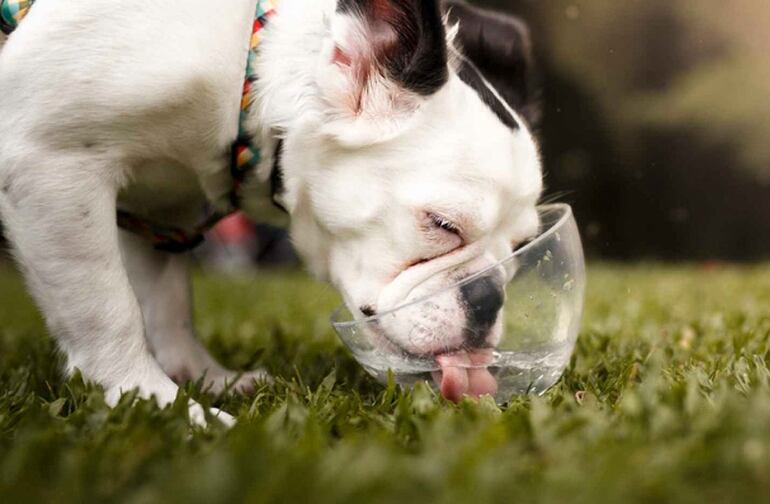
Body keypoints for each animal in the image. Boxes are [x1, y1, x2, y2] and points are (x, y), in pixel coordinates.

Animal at [0, 0, 540, 422]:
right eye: (442, 225)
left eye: (519, 248)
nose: (489, 297)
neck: (250, 77)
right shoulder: (50, 164)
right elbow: (108, 313)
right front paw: (153, 401)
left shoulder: (161, 211)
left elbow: (168, 301)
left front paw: (197, 376)